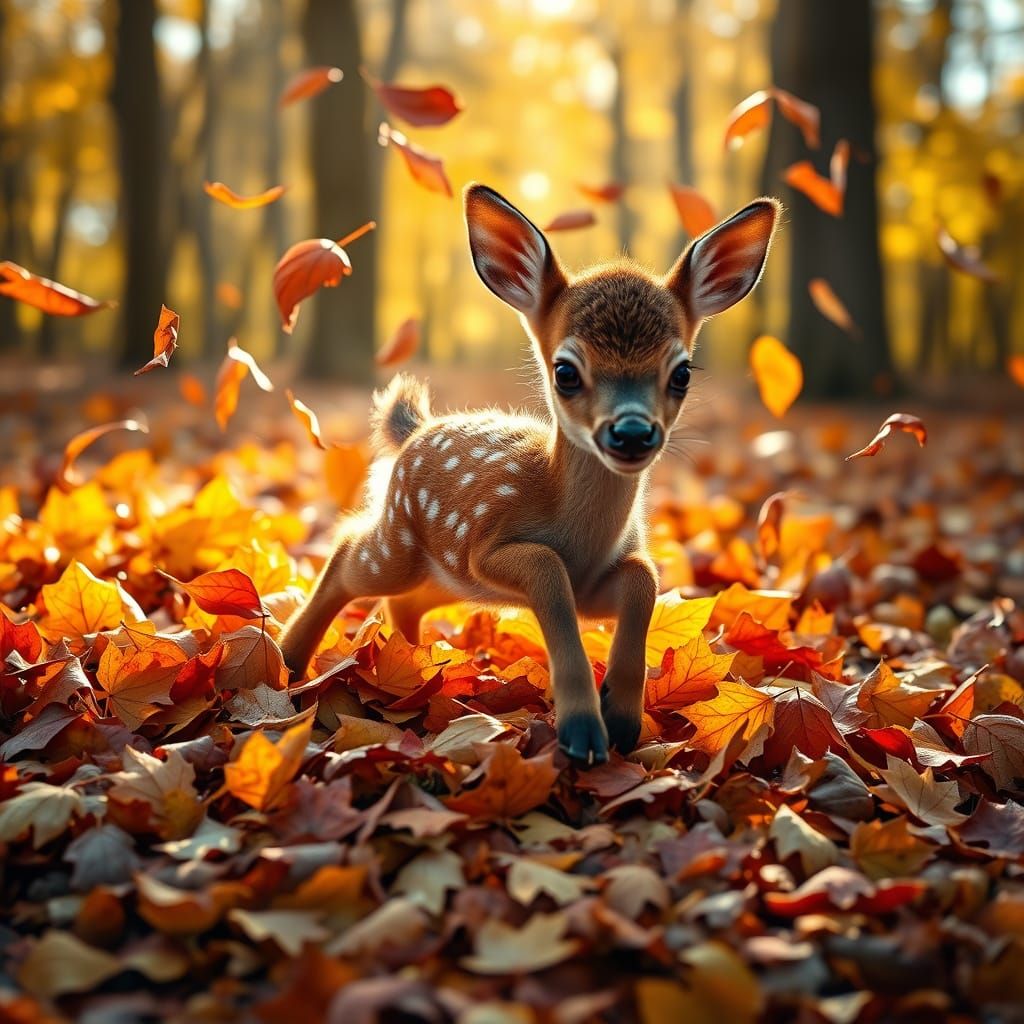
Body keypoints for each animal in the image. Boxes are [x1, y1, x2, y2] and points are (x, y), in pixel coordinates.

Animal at [279, 183, 780, 765]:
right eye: (565, 371)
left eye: (681, 372)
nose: (632, 432)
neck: (581, 542)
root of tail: (413, 429)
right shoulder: (489, 546)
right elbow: (546, 568)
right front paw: (583, 730)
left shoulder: (599, 582)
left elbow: (644, 577)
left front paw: (622, 717)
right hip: (401, 544)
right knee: (347, 552)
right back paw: (289, 661)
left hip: (447, 575)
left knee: (404, 599)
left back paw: (416, 666)